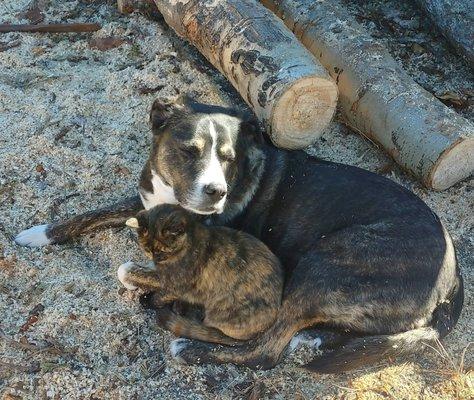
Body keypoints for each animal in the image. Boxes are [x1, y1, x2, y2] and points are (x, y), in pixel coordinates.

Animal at [117, 205, 284, 346]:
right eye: (147, 249)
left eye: (162, 251)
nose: (156, 259)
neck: (190, 243)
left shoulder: (174, 283)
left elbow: (155, 290)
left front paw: (149, 299)